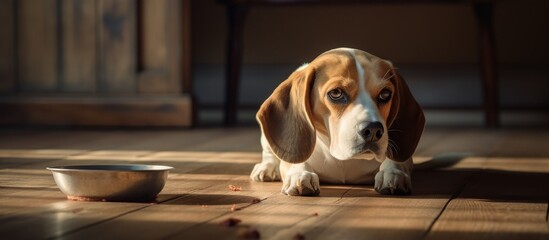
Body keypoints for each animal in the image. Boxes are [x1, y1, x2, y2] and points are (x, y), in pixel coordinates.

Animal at [248, 47, 424, 196]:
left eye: (385, 94)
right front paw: (300, 174)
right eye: (336, 93)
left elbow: (396, 161)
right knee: (270, 152)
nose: (374, 130)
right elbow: (294, 161)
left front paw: (393, 173)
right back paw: (266, 168)